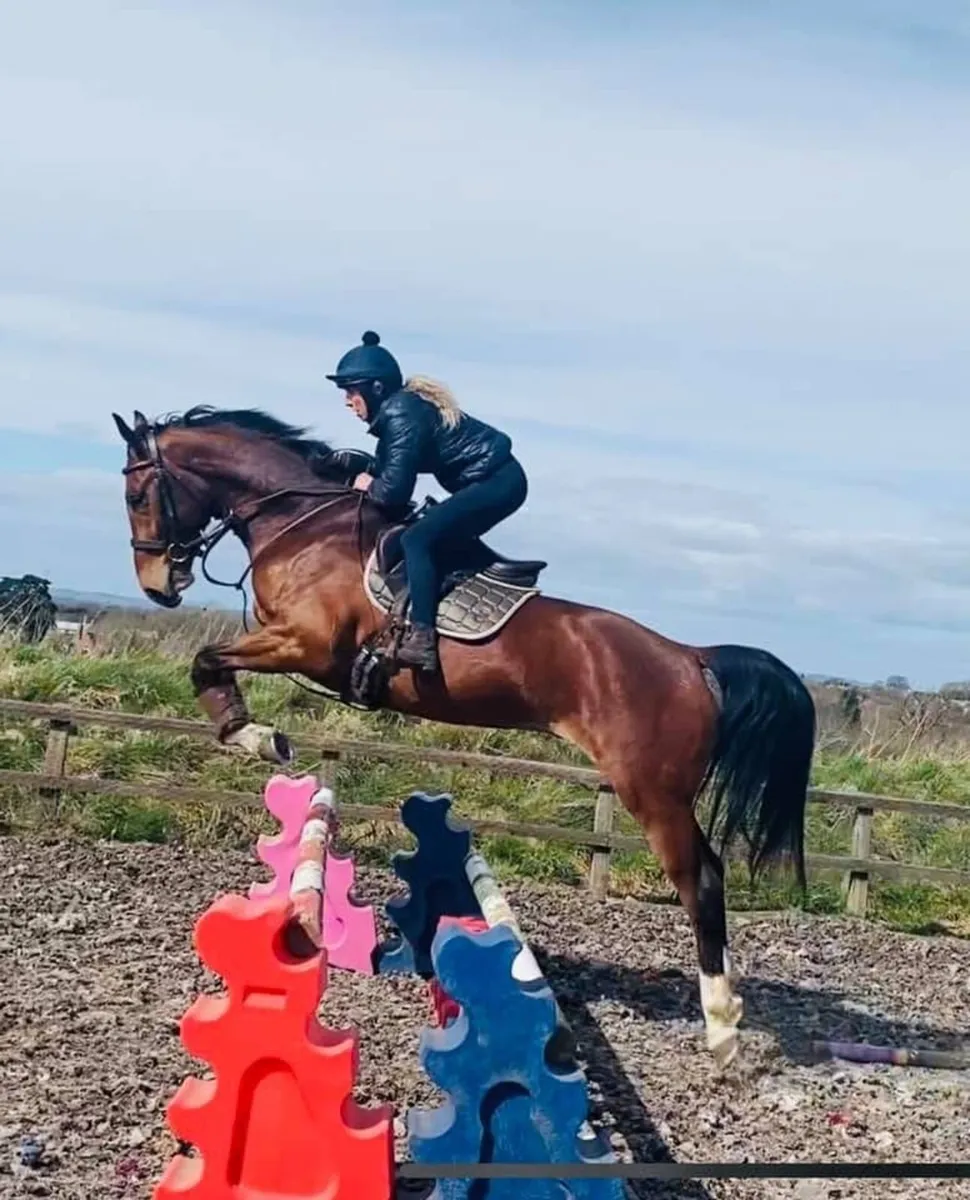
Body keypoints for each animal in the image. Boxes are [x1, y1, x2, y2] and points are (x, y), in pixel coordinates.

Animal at [113, 404, 816, 1069]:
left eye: (137, 494)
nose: (158, 587)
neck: (305, 526)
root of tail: (691, 657)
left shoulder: (305, 645)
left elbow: (207, 660)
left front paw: (253, 734)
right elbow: (209, 662)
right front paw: (253, 734)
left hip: (652, 791)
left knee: (700, 881)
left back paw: (722, 1028)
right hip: (663, 791)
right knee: (710, 874)